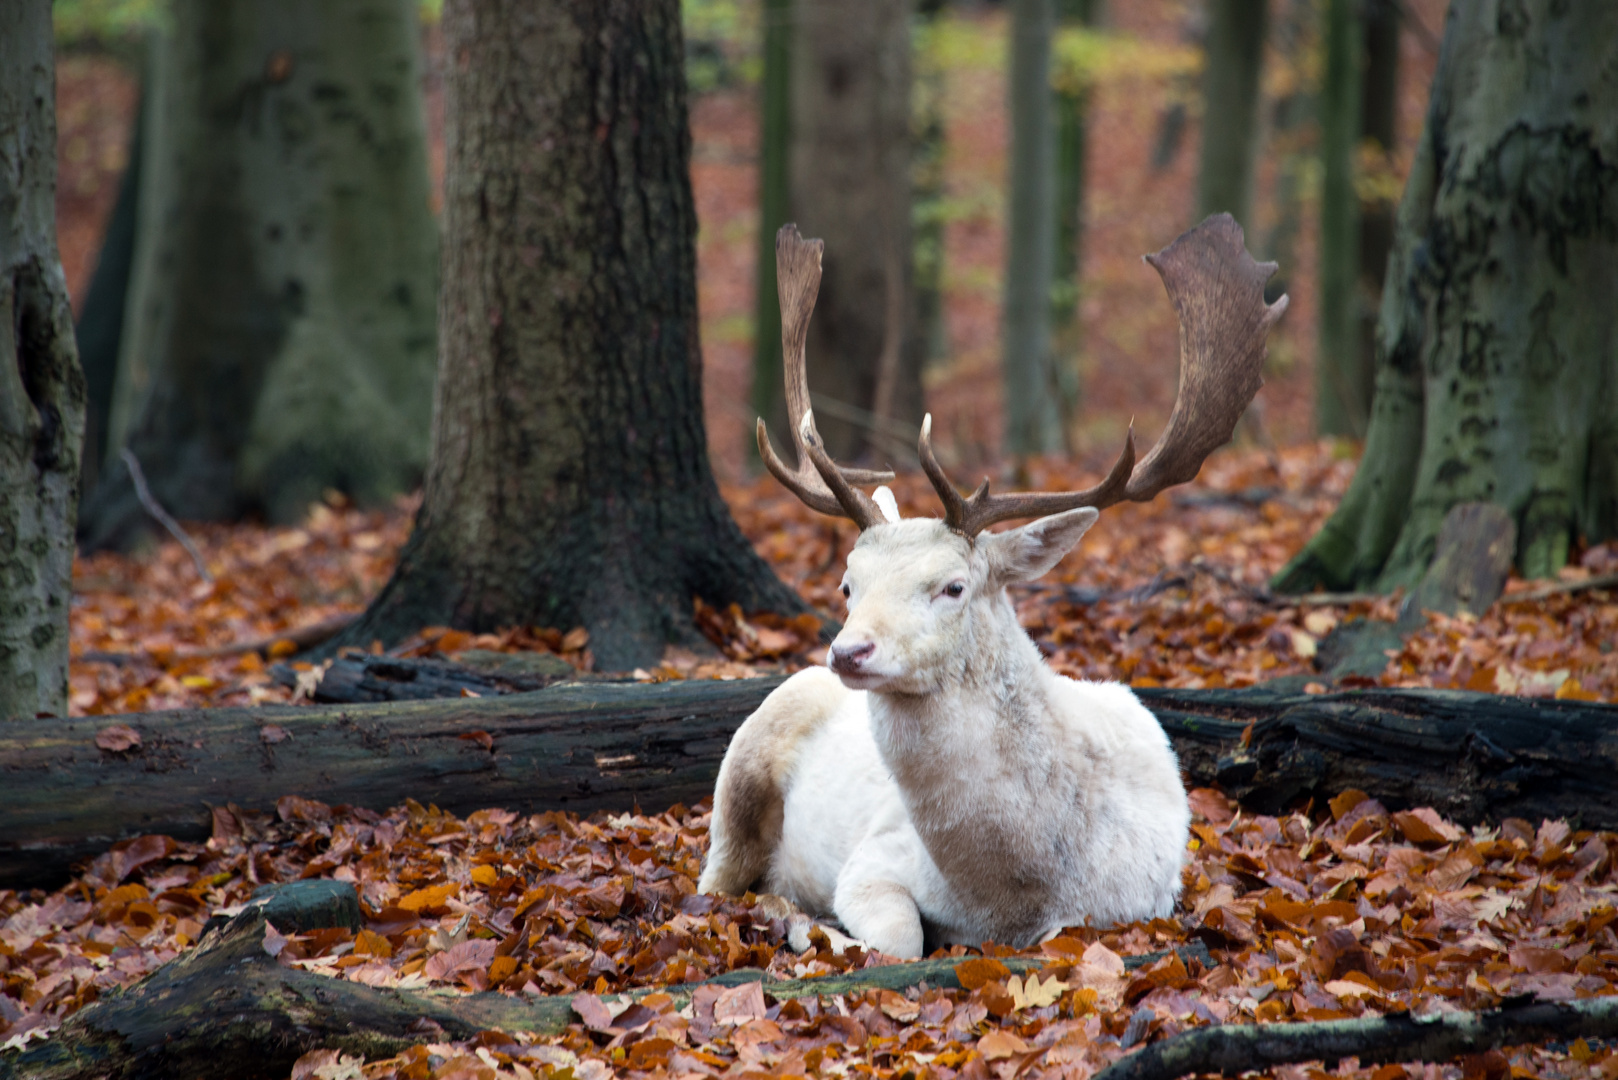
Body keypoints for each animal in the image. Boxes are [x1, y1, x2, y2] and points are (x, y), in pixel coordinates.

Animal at [695, 215, 1287, 958]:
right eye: (847, 585)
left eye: (952, 587)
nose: (849, 652)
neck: (1013, 895)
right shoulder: (873, 858)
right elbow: (899, 939)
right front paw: (810, 925)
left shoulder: (1137, 902)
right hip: (740, 767)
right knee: (710, 884)